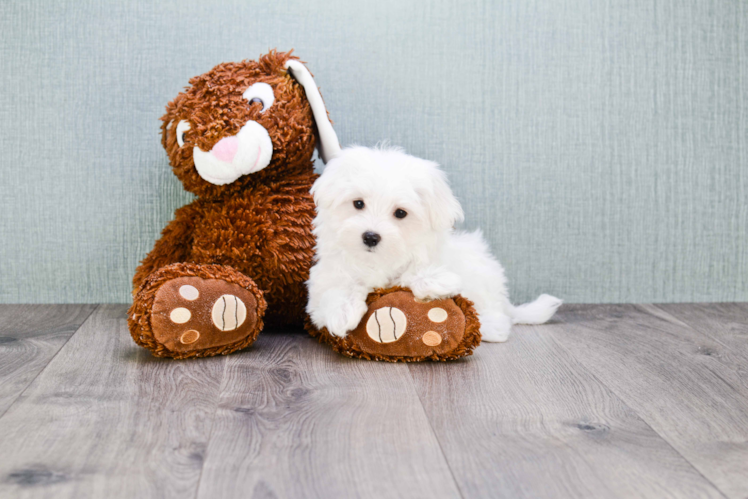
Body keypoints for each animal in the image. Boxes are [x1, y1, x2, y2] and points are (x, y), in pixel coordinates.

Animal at [306, 144, 560, 340]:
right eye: (358, 203)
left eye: (400, 213)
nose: (370, 236)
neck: (379, 260)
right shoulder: (326, 275)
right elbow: (337, 287)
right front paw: (342, 313)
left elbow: (414, 272)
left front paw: (436, 281)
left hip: (482, 273)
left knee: (494, 310)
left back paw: (491, 328)